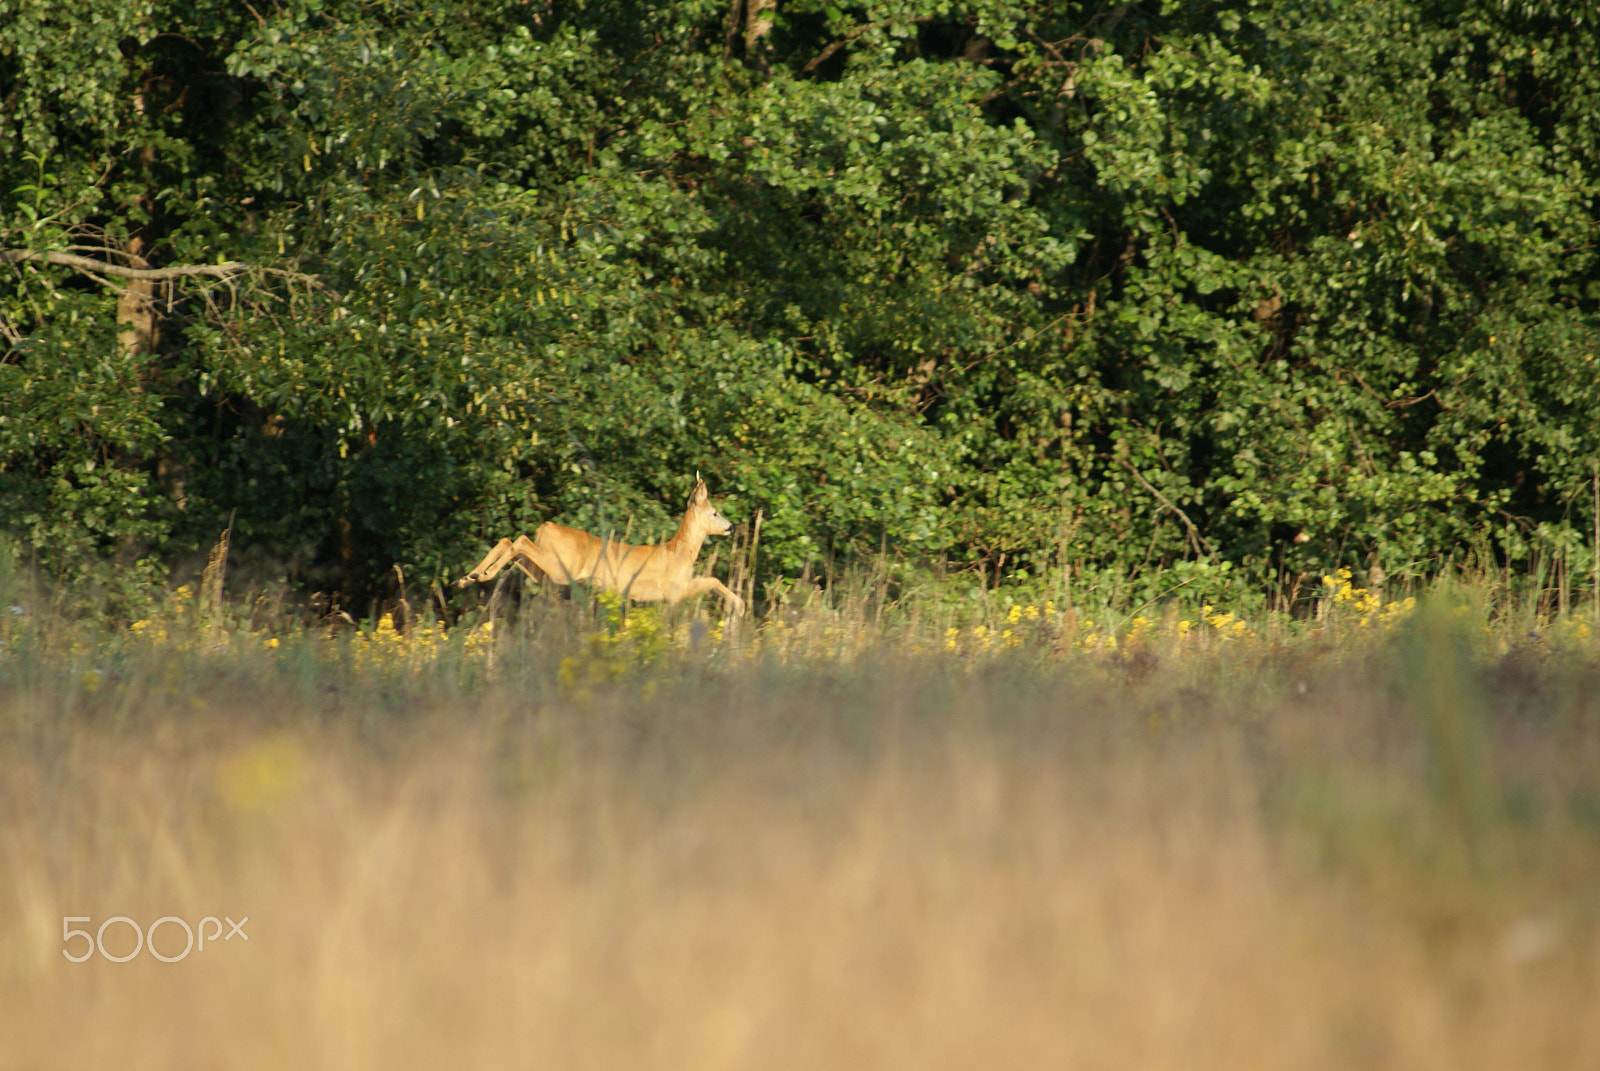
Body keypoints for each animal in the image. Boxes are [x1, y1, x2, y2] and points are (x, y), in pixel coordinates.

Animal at [456, 477, 745, 616]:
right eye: (715, 513)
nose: (731, 526)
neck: (678, 552)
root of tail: (546, 527)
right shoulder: (673, 590)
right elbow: (713, 580)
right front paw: (740, 606)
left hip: (545, 569)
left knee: (509, 542)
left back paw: (470, 577)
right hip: (562, 568)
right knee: (519, 541)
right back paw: (478, 575)